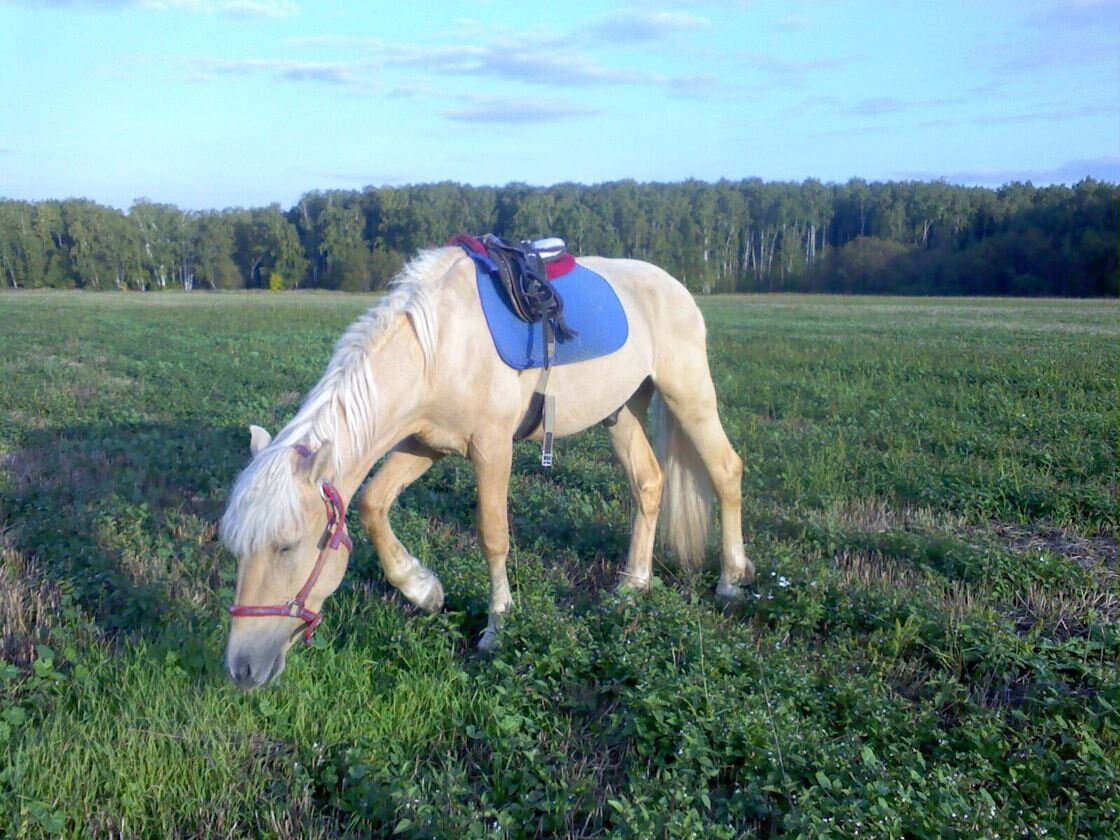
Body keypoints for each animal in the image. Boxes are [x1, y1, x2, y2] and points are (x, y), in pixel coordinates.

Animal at [218, 243, 752, 689]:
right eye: (237, 550)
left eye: (288, 547)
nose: (242, 668)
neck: (440, 345)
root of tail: (672, 284)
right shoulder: (424, 442)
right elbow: (372, 504)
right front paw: (424, 590)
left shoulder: (493, 448)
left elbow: (493, 535)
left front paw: (497, 625)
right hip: (621, 411)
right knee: (649, 483)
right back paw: (633, 585)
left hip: (688, 394)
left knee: (726, 470)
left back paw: (731, 579)